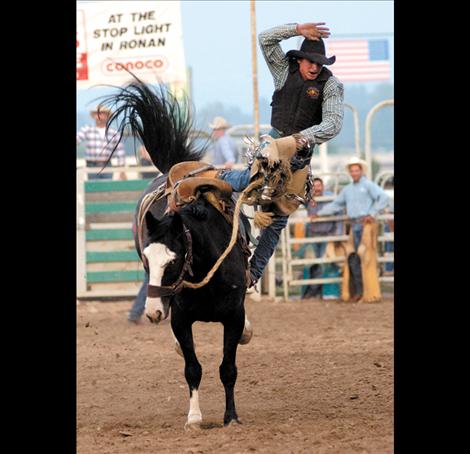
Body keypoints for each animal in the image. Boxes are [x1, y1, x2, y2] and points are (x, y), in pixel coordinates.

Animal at [100, 76, 252, 428]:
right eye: (147, 260)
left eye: (174, 259)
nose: (152, 311)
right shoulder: (181, 319)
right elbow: (192, 367)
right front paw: (194, 417)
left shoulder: (233, 316)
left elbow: (228, 368)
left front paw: (231, 417)